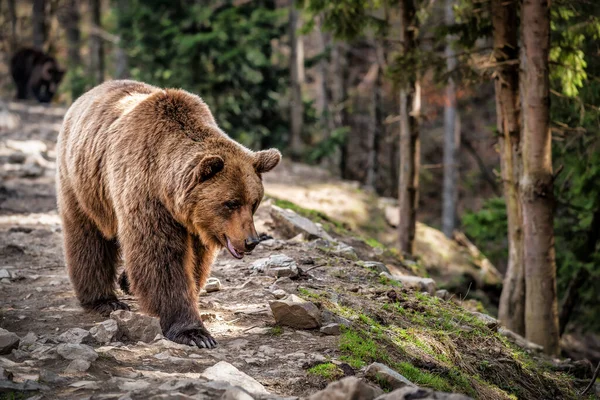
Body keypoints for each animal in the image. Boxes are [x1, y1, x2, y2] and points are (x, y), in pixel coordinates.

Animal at [56, 80, 282, 346]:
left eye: (254, 202)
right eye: (231, 203)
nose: (251, 241)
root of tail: (88, 94)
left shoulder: (197, 222)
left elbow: (195, 261)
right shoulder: (147, 194)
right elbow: (161, 257)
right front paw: (194, 332)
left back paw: (124, 283)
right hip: (84, 184)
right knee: (88, 237)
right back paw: (103, 299)